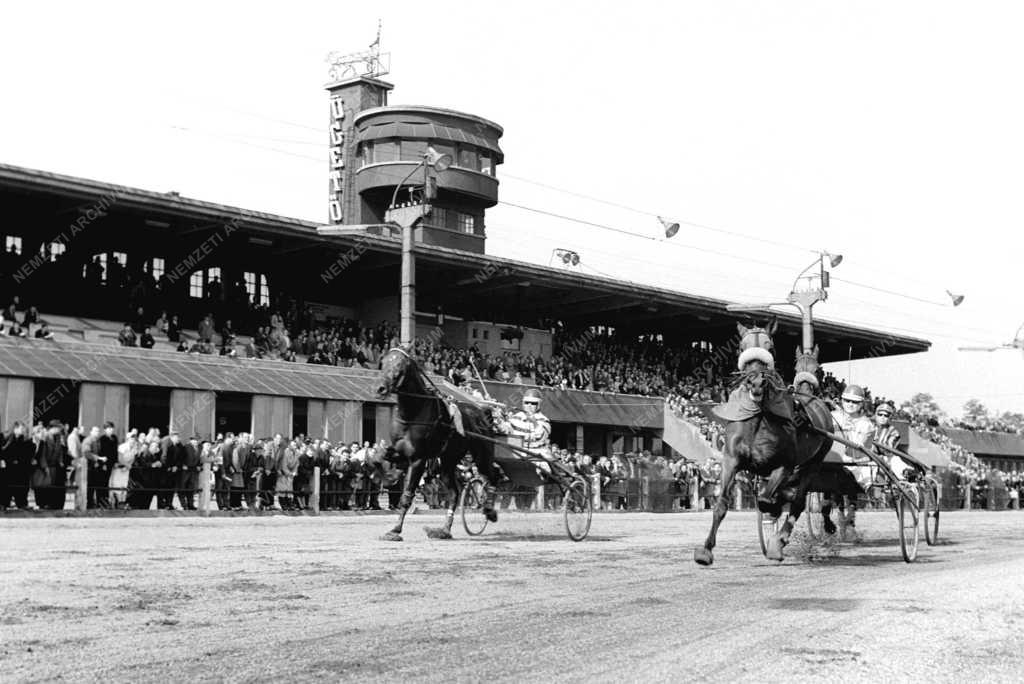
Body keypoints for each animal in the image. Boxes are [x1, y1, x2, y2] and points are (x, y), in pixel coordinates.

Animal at [378, 348, 501, 540]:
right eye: (383, 362)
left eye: (399, 365)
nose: (381, 388)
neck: (413, 411)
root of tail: (482, 411)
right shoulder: (401, 453)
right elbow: (385, 456)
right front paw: (388, 476)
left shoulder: (418, 459)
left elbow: (406, 495)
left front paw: (395, 530)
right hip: (448, 461)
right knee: (454, 493)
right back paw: (444, 530)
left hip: (482, 453)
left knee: (493, 474)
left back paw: (489, 510)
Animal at [692, 323, 835, 565]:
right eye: (742, 347)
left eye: (771, 347)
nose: (756, 382)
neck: (758, 419)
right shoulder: (731, 461)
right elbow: (721, 504)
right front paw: (705, 550)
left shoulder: (785, 465)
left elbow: (767, 499)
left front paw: (776, 528)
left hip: (815, 461)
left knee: (798, 500)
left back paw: (780, 540)